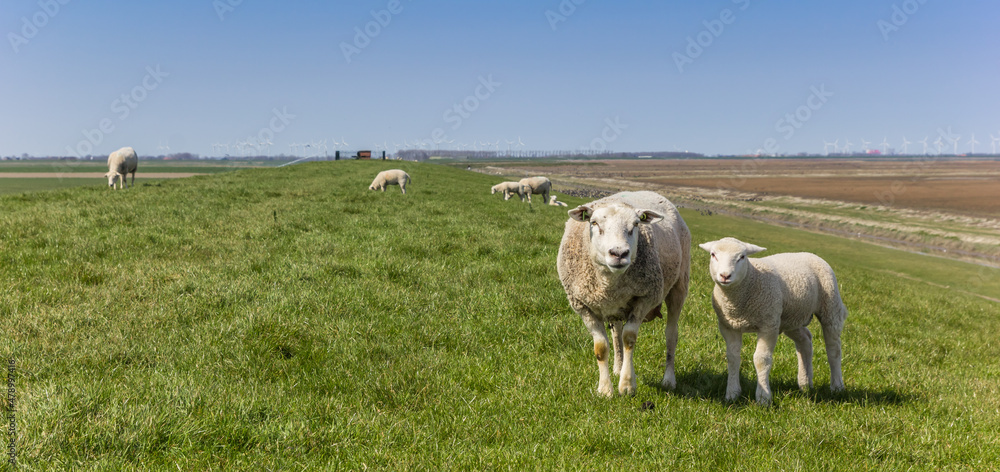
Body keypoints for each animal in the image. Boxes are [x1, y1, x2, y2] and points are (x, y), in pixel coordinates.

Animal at [556, 190, 688, 396]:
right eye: (594, 223)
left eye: (636, 224)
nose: (619, 253)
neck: (609, 282)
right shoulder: (582, 305)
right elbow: (601, 347)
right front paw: (605, 389)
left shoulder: (644, 298)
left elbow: (629, 339)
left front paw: (626, 385)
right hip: (616, 306)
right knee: (616, 333)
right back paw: (617, 368)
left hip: (679, 285)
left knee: (671, 335)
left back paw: (668, 380)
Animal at [700, 238, 848, 404]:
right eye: (713, 255)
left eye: (742, 257)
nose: (725, 275)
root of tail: (810, 254)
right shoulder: (729, 326)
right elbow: (732, 358)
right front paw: (732, 394)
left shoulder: (768, 325)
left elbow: (761, 359)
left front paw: (763, 398)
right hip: (790, 318)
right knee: (805, 341)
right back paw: (805, 384)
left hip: (830, 306)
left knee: (834, 349)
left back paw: (837, 386)